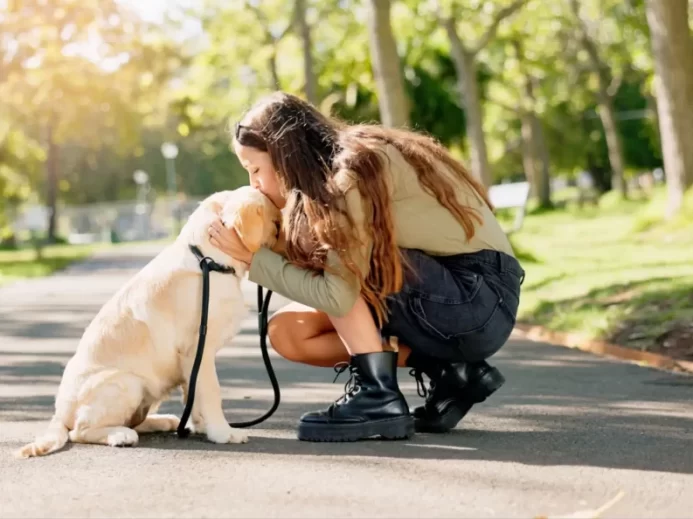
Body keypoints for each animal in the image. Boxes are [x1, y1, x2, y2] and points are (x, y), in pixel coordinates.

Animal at [14, 186, 278, 460]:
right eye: (276, 224)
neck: (208, 259)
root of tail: (59, 413)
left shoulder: (192, 361)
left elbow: (193, 395)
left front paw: (202, 427)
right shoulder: (198, 349)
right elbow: (211, 393)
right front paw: (223, 433)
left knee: (135, 420)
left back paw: (163, 421)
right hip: (127, 382)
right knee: (80, 431)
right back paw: (121, 435)